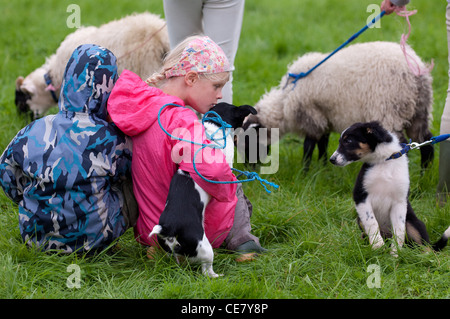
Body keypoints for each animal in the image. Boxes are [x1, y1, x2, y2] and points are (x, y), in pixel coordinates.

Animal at [149, 103, 256, 278]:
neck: (214, 128)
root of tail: (169, 228)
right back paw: (218, 276)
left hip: (171, 251)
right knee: (207, 271)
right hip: (205, 248)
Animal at [244, 41, 434, 171]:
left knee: (402, 145)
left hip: (389, 110)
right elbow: (322, 143)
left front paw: (304, 171)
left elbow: (308, 145)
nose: (248, 168)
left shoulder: (311, 115)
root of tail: (417, 69)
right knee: (426, 141)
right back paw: (424, 174)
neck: (284, 100)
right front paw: (322, 166)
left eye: (247, 141)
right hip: (418, 110)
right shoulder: (323, 116)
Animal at [328, 121, 448, 256]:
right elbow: (372, 221)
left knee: (425, 247)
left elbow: (399, 230)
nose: (332, 159)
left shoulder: (399, 201)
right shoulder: (361, 196)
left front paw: (395, 254)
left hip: (413, 223)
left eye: (348, 141)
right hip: (360, 220)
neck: (384, 161)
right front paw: (377, 244)